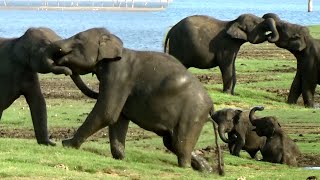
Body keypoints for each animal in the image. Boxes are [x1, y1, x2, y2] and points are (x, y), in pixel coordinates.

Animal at [48, 27, 224, 174]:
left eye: (78, 39)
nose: (61, 61)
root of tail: (211, 106)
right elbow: (118, 118)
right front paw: (120, 157)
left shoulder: (118, 76)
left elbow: (107, 113)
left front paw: (66, 144)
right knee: (170, 141)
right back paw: (206, 169)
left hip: (192, 114)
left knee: (180, 144)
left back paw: (186, 167)